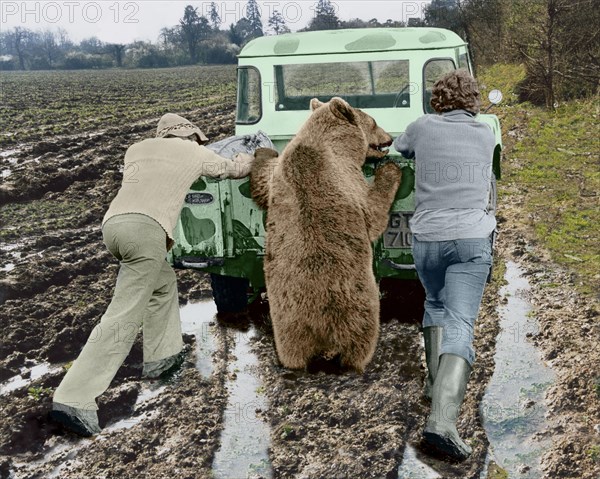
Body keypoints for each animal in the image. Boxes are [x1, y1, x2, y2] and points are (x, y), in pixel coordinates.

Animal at [251, 97, 400, 376]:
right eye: (374, 121)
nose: (390, 138)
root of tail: (322, 338)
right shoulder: (346, 176)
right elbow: (372, 213)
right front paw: (391, 170)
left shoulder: (280, 177)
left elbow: (265, 179)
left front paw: (262, 152)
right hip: (356, 308)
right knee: (360, 337)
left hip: (287, 325)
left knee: (291, 350)